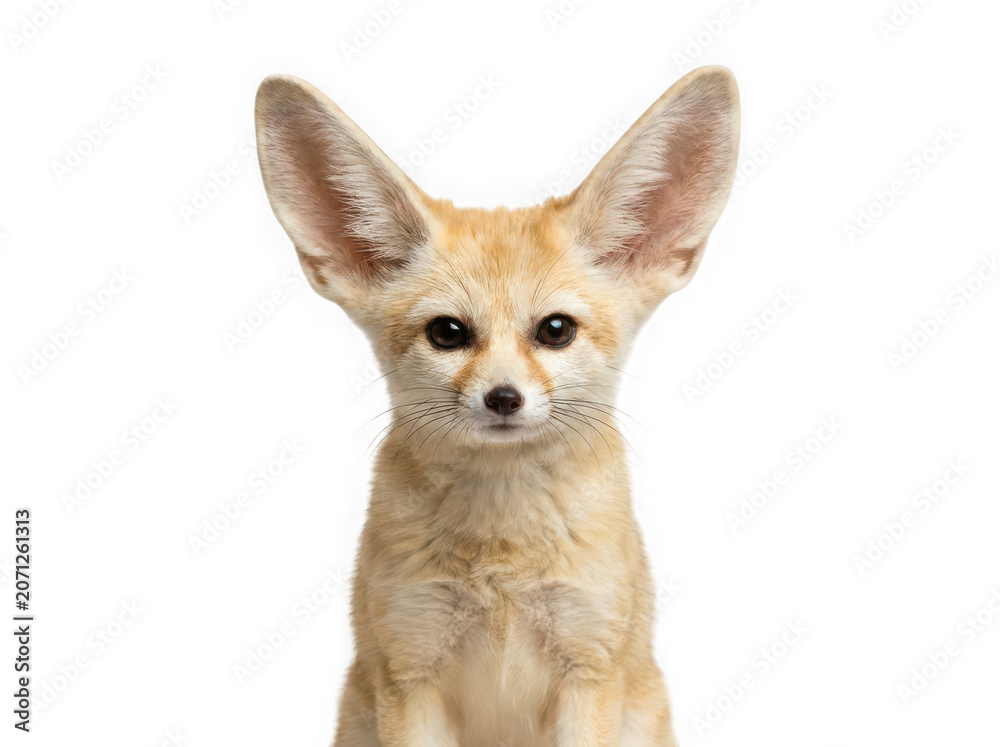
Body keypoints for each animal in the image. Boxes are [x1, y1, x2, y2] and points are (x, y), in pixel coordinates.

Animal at [254, 65, 740, 746]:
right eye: (448, 333)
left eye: (556, 330)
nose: (504, 398)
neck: (502, 561)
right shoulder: (410, 666)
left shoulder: (589, 665)